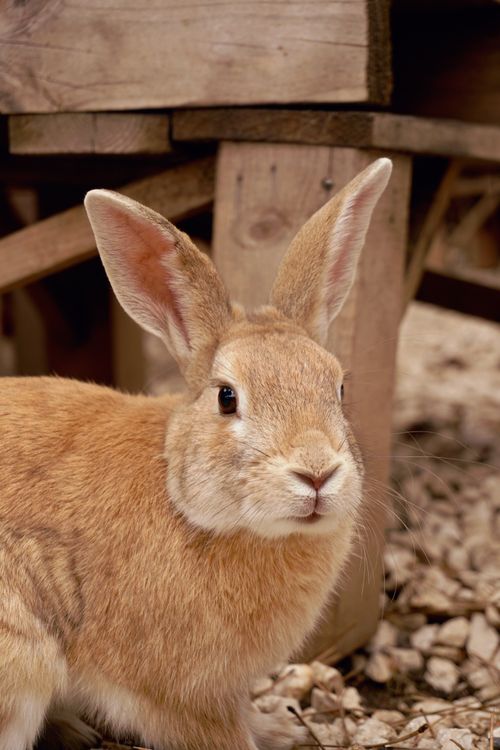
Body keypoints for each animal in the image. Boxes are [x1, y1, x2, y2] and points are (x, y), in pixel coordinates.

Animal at [0, 157, 392, 750]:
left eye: (339, 388)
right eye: (227, 397)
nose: (317, 473)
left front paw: (280, 727)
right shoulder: (176, 697)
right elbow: (219, 734)